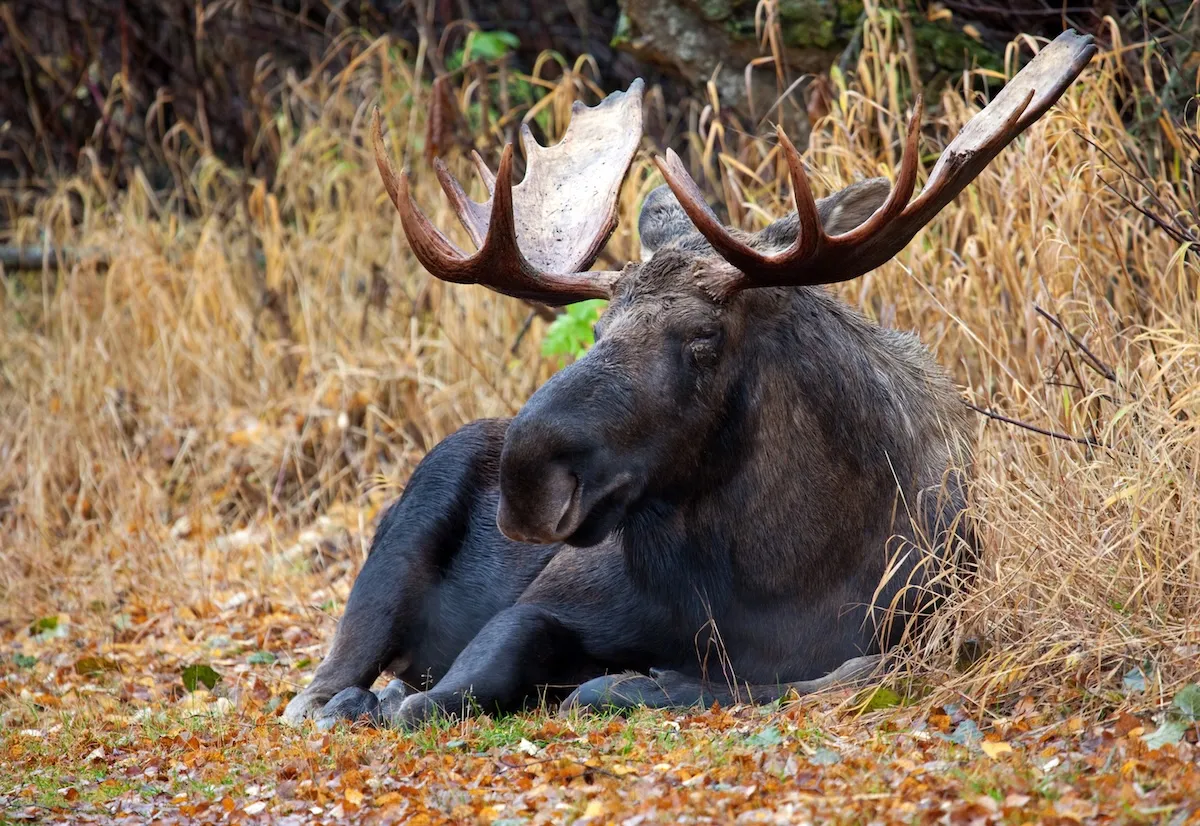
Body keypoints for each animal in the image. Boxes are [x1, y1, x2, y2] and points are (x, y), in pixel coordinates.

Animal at [283, 30, 1096, 729]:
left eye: (704, 342)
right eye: (600, 332)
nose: (527, 478)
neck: (774, 581)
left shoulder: (901, 639)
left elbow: (788, 680)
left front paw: (641, 682)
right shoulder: (548, 597)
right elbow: (470, 672)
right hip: (402, 533)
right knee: (321, 683)